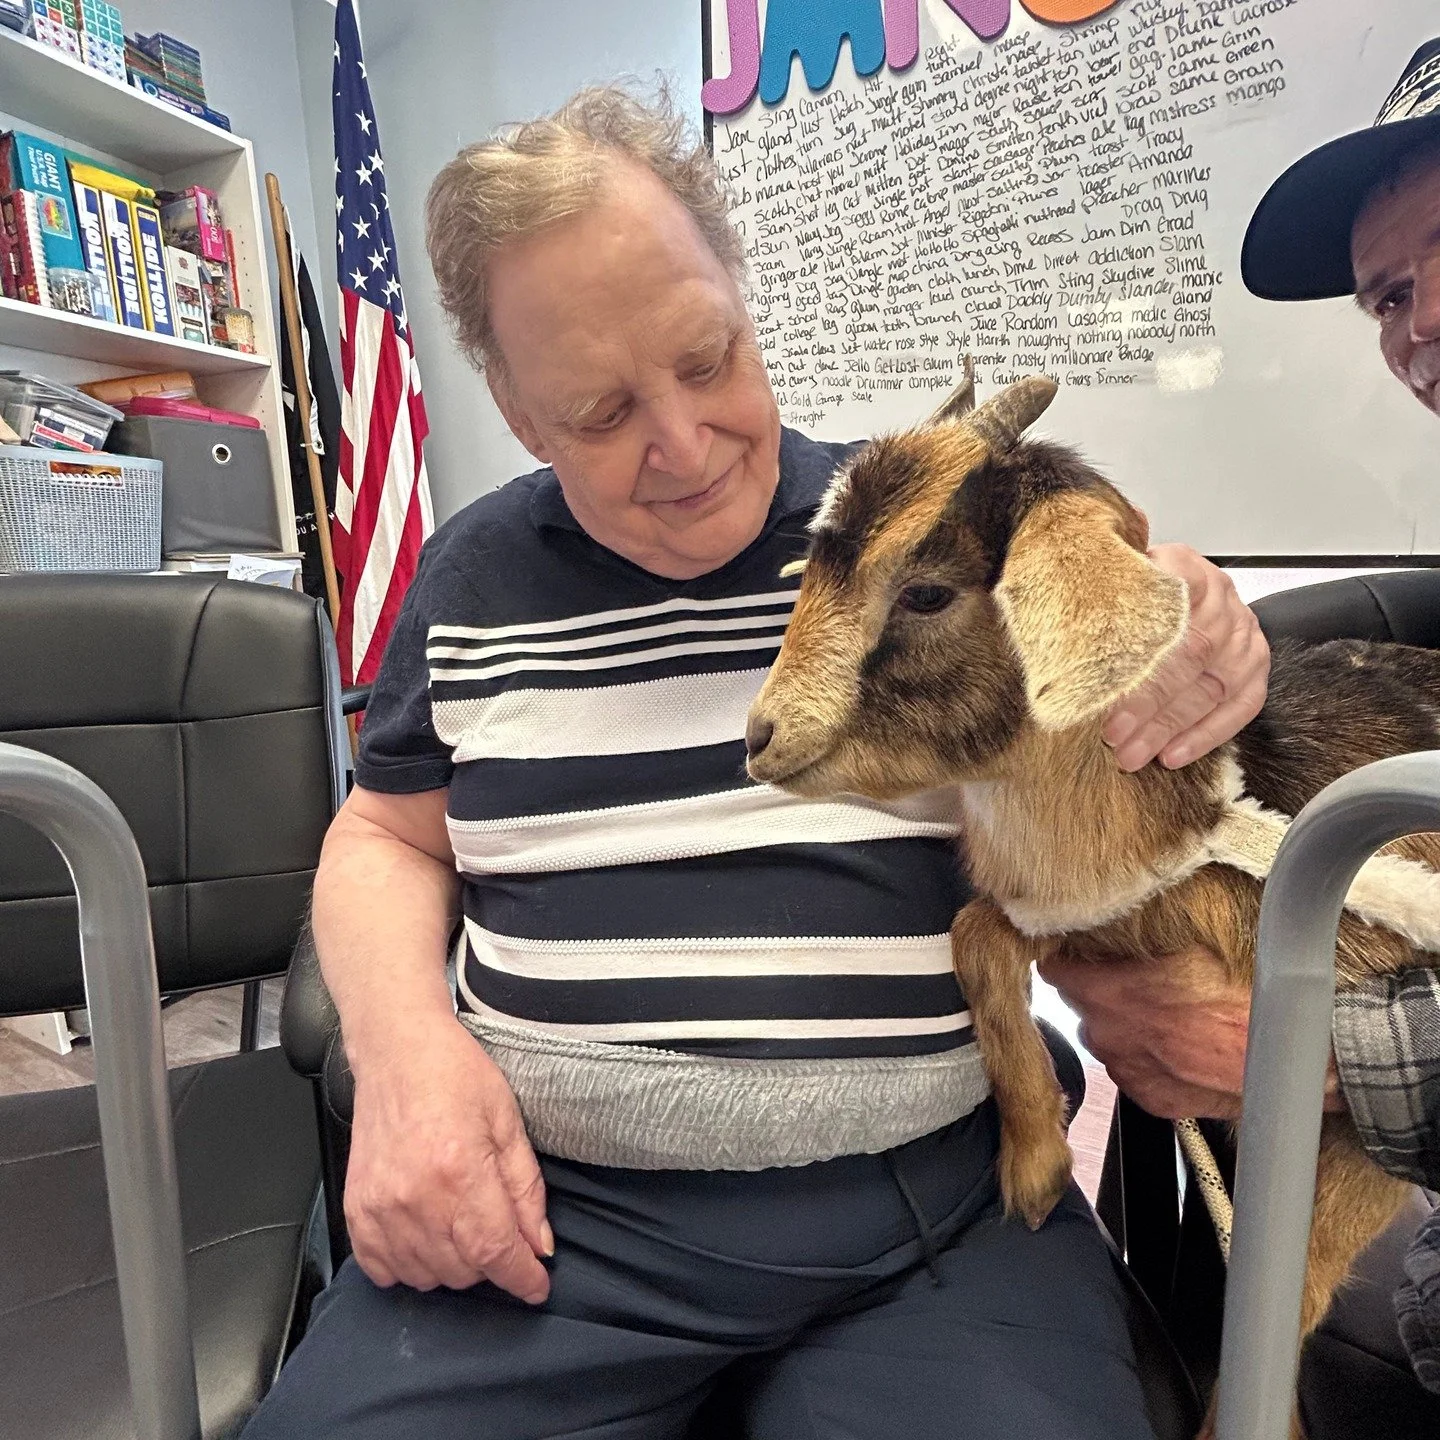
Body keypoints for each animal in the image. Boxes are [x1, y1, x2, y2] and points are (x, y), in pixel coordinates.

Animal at [746, 370, 1437, 1432]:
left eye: (927, 590)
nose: (760, 736)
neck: (1195, 832)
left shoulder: (1353, 1131)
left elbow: (1283, 1298)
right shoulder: (1082, 919)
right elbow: (974, 933)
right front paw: (1032, 1169)